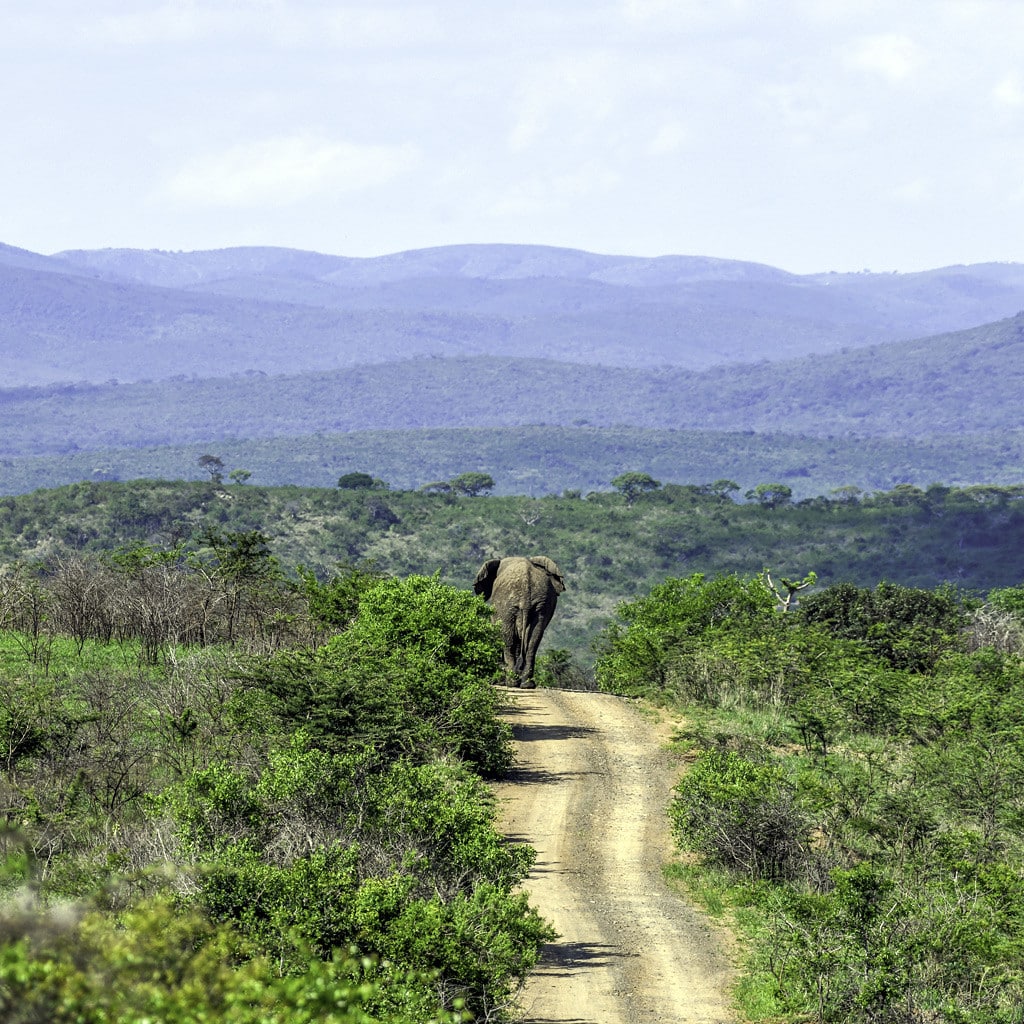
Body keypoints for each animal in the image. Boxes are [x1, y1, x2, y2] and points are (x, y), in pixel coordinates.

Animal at [474, 556, 565, 688]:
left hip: (506, 606)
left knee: (508, 640)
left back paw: (511, 683)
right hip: (541, 606)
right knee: (533, 641)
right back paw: (527, 684)